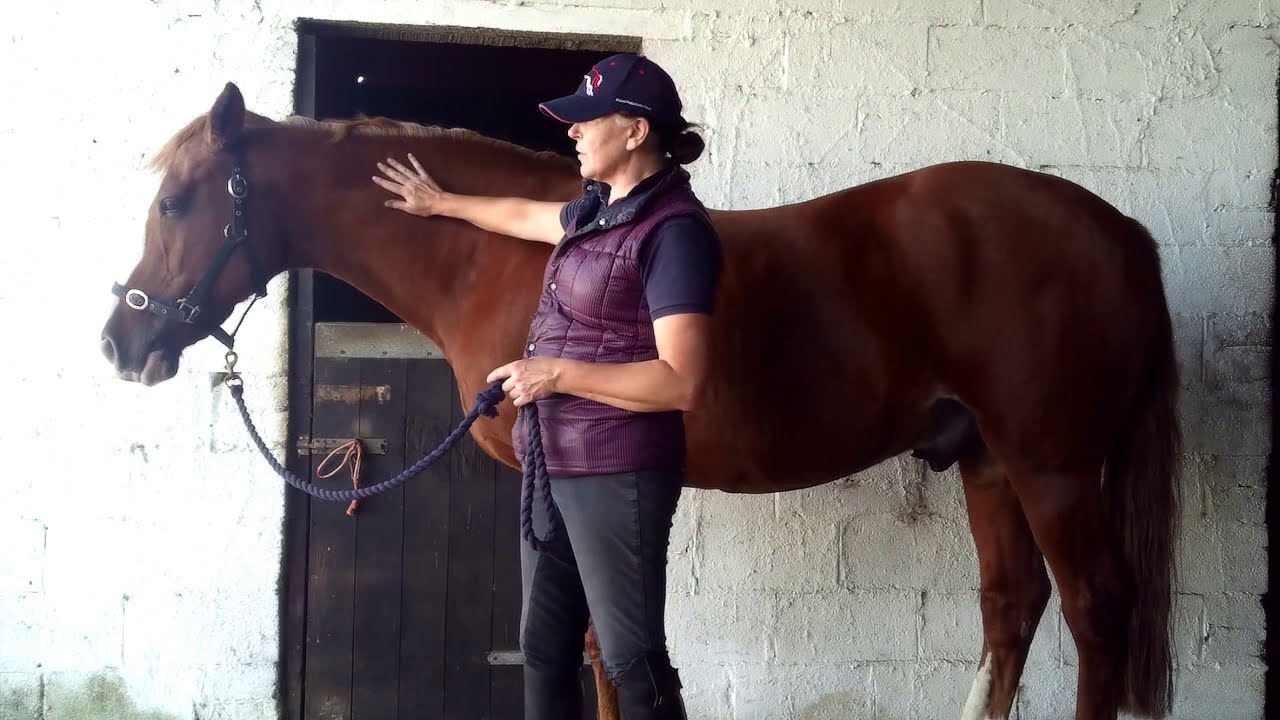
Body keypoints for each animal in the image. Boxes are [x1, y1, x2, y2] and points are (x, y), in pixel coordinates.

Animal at [101, 82, 1181, 720]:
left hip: (1049, 466)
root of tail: (1121, 228)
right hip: (986, 460)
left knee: (1094, 609)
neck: (502, 258)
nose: (122, 343)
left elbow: (596, 645)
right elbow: (586, 641)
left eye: (177, 201)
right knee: (1011, 607)